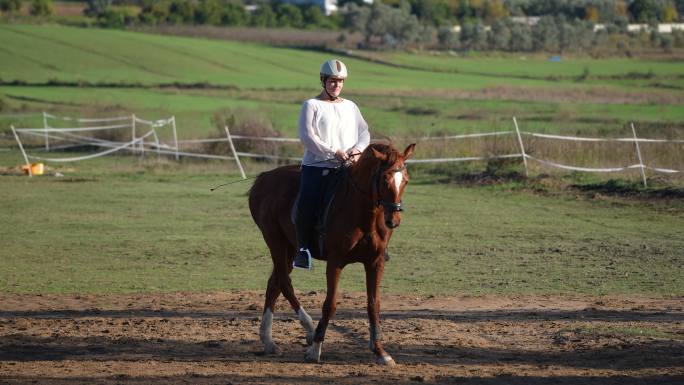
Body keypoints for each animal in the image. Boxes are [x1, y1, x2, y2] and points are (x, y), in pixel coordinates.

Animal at [247, 141, 414, 364]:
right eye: (385, 179)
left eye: (405, 180)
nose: (394, 220)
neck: (362, 214)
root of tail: (264, 178)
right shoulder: (335, 262)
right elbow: (330, 304)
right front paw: (315, 349)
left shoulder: (375, 262)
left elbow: (373, 304)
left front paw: (380, 351)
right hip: (276, 242)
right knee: (284, 282)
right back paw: (309, 329)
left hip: (290, 247)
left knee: (274, 284)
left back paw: (268, 341)